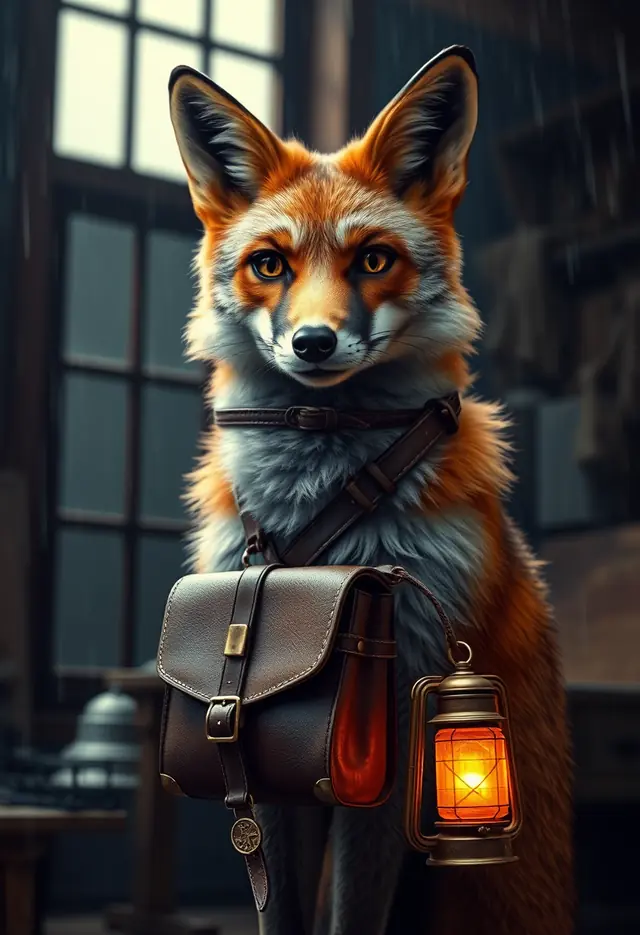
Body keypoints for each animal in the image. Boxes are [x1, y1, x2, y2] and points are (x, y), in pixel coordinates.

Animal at [168, 45, 574, 935]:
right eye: (271, 264)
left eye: (373, 259)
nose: (313, 343)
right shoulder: (265, 771)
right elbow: (280, 909)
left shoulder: (398, 717)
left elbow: (350, 911)